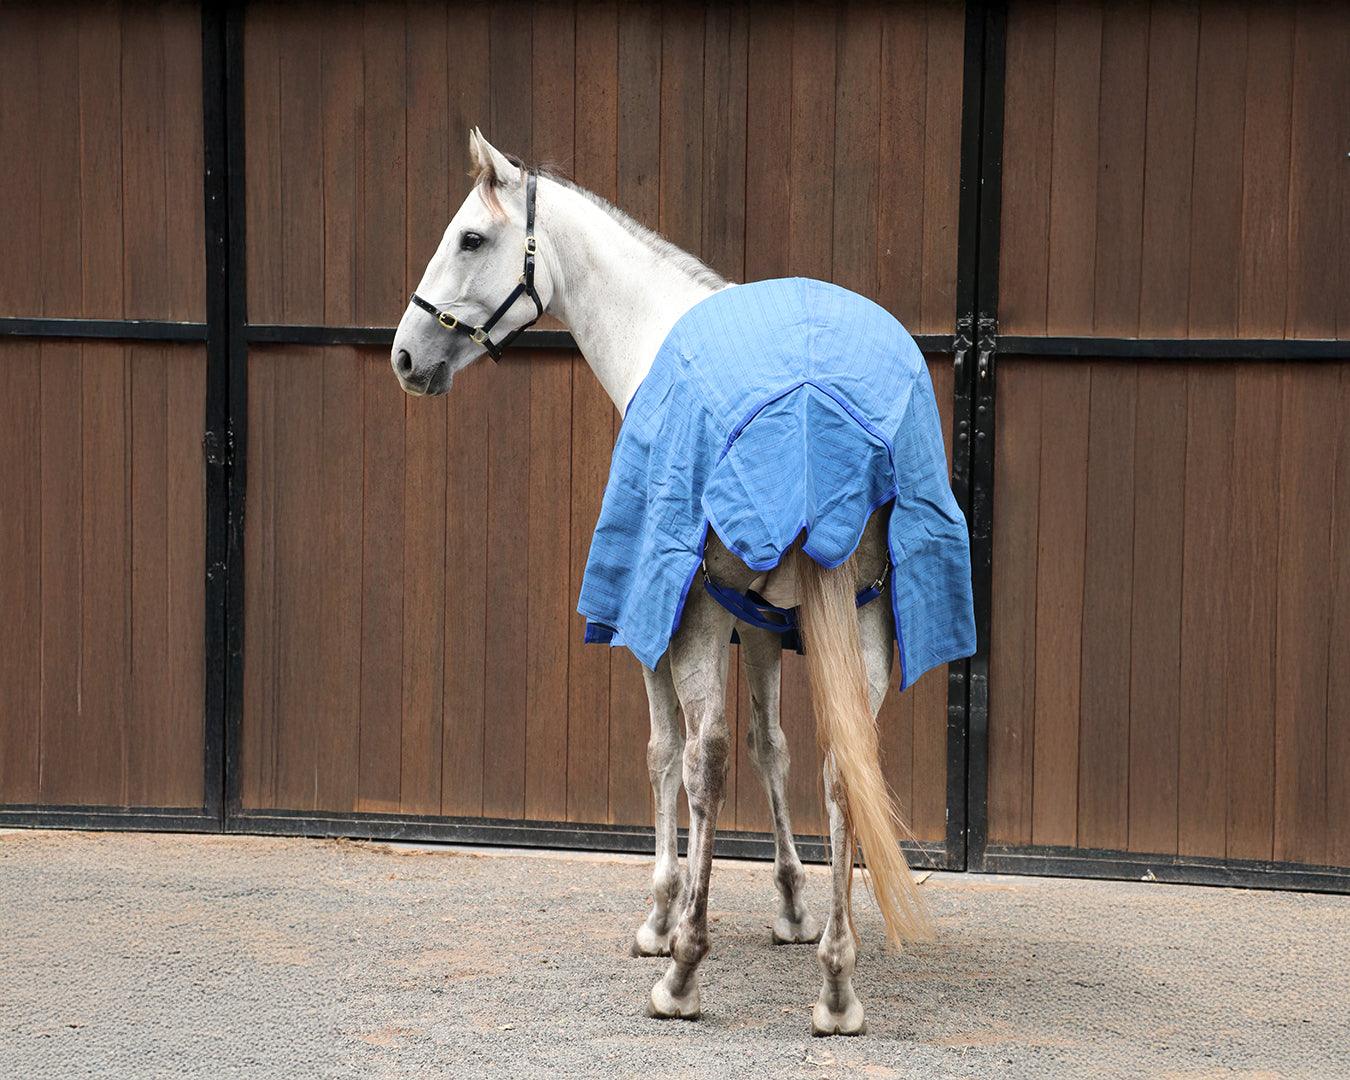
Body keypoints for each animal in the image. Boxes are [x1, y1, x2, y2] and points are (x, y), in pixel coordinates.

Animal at [390, 129, 974, 1035]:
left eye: (471, 240)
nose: (407, 356)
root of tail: (816, 401)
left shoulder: (661, 617)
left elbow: (667, 753)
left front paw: (662, 917)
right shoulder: (767, 624)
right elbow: (776, 748)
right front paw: (794, 907)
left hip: (697, 615)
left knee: (707, 758)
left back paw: (684, 972)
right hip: (864, 624)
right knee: (841, 770)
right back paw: (837, 985)